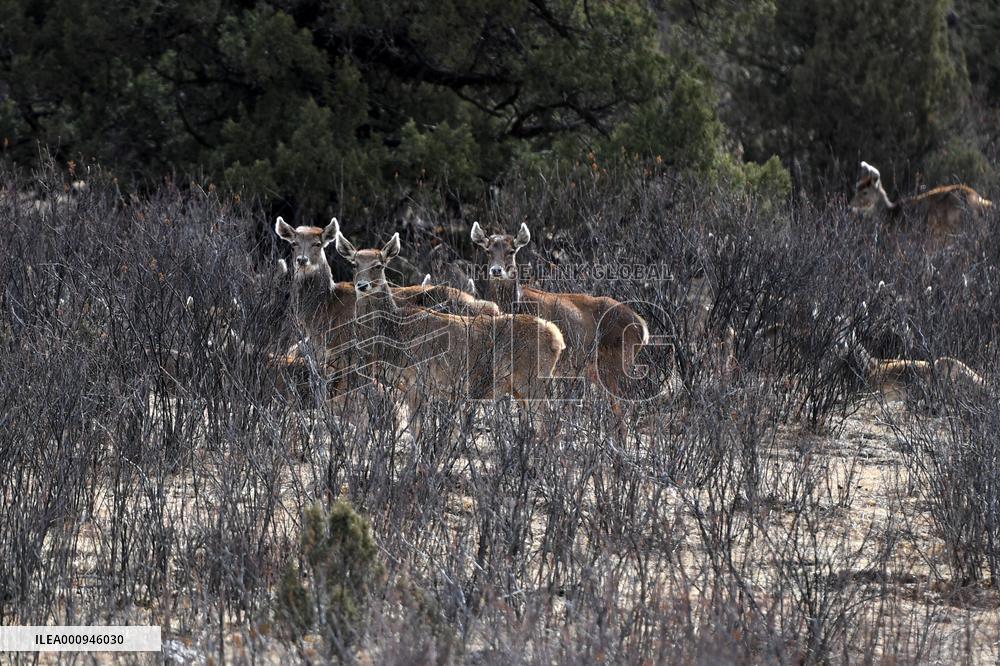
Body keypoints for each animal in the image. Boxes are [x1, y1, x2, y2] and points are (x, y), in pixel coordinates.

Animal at [332, 225, 565, 434]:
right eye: (354, 264)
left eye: (379, 265)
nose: (362, 285)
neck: (395, 333)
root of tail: (557, 338)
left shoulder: (417, 380)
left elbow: (417, 429)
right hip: (522, 387)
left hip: (532, 379)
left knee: (550, 423)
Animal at [470, 221, 649, 416]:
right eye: (488, 250)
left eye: (511, 251)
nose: (496, 270)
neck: (516, 304)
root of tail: (643, 327)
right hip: (597, 369)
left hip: (619, 361)